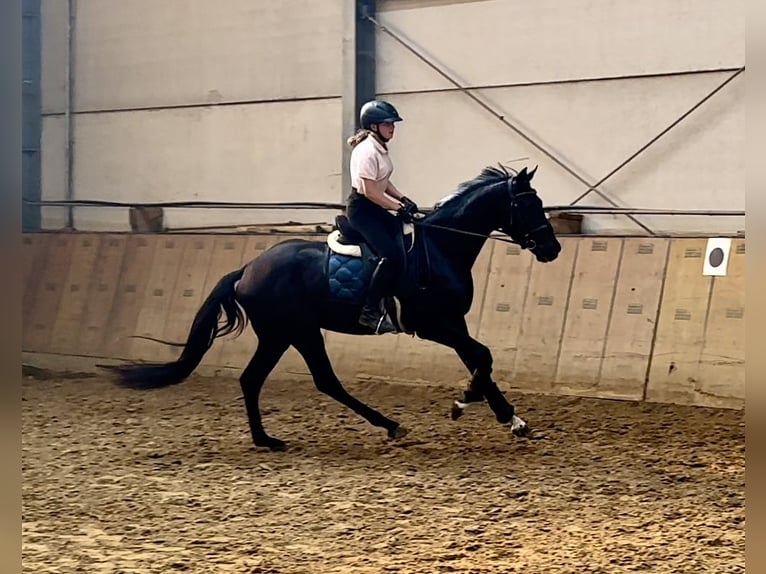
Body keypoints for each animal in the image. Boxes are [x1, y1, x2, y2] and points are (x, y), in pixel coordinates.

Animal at [103, 164, 564, 452]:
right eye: (526, 204)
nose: (553, 249)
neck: (440, 247)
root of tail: (246, 270)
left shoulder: (453, 322)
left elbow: (480, 359)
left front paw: (509, 418)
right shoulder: (433, 324)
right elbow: (482, 357)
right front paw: (466, 404)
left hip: (287, 334)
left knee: (269, 380)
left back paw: (273, 439)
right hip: (293, 332)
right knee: (306, 380)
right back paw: (376, 427)